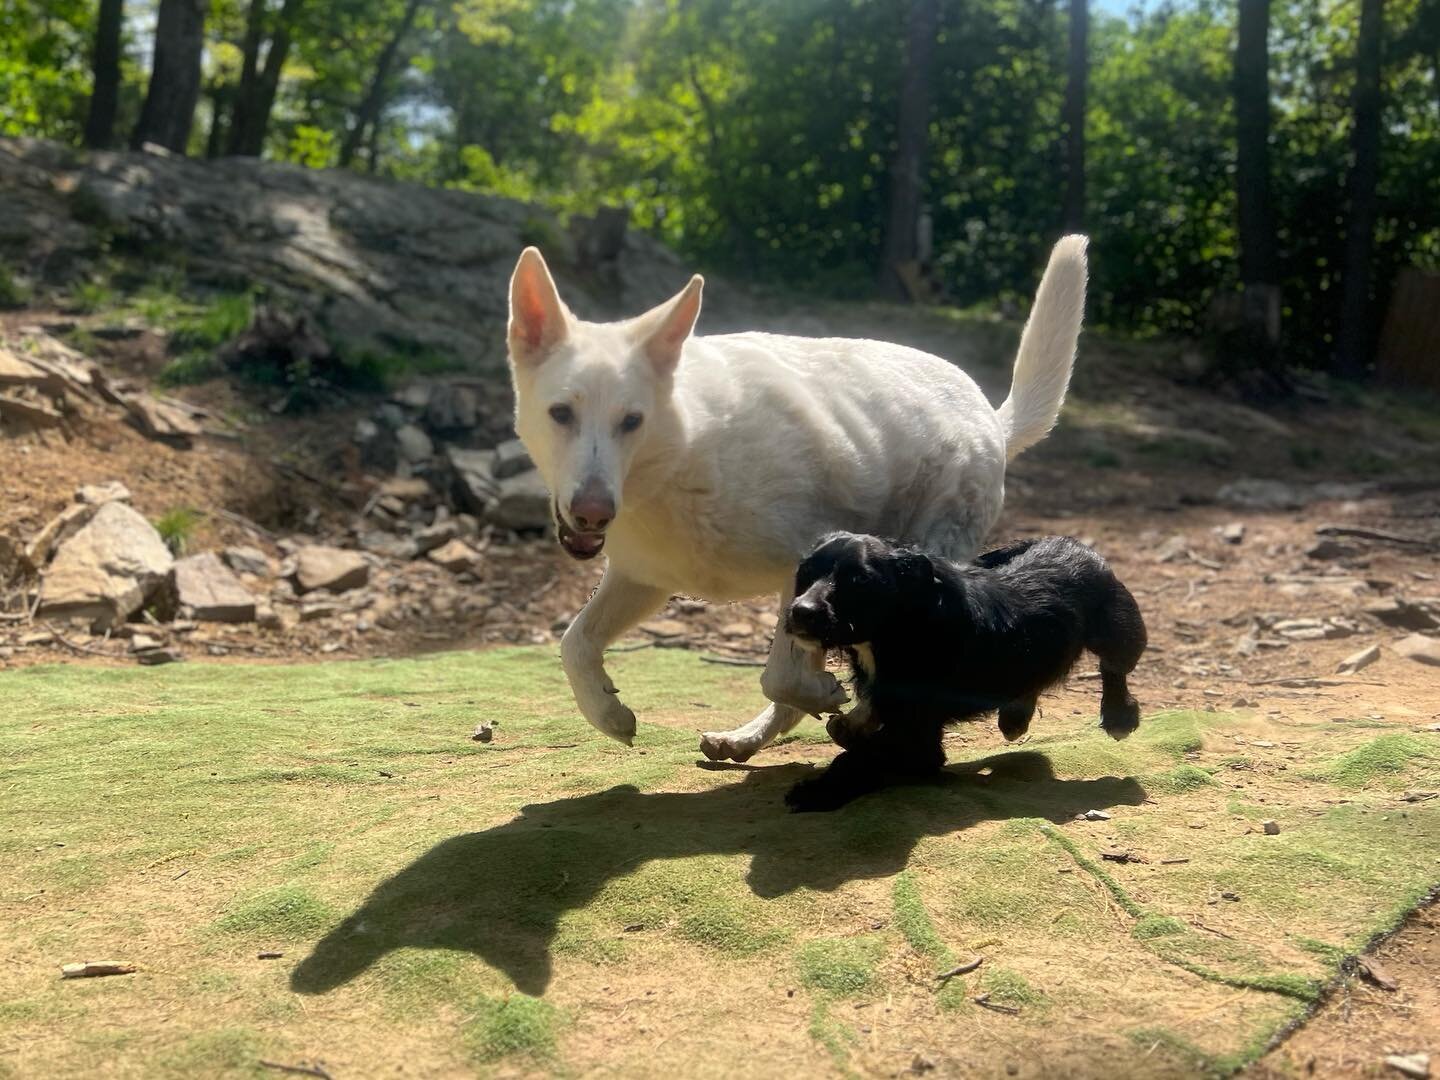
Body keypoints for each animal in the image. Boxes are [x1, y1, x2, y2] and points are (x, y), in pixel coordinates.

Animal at [512, 236, 1082, 760]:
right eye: (560, 414)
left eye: (631, 421)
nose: (592, 513)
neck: (678, 452)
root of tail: (990, 415)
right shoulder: (643, 581)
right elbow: (573, 643)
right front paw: (608, 713)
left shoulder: (800, 568)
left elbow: (779, 676)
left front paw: (829, 696)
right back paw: (747, 738)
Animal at [777, 532, 1146, 812]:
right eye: (806, 571)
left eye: (859, 581)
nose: (800, 612)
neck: (899, 625)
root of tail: (1071, 541)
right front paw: (850, 727)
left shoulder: (914, 733)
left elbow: (863, 756)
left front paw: (816, 792)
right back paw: (1014, 717)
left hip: (1120, 632)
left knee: (1114, 668)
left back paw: (1118, 716)